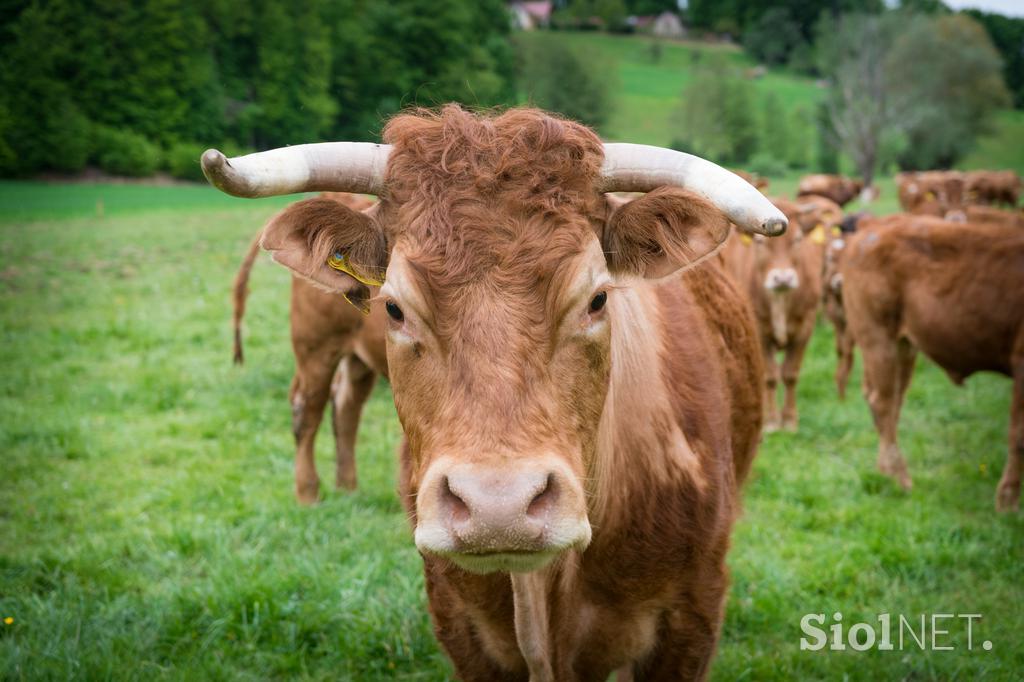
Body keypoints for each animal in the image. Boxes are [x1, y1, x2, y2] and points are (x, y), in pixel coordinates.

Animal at [232, 189, 387, 499]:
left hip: (360, 357)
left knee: (346, 406)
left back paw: (347, 489)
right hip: (315, 347)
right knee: (307, 410)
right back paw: (308, 493)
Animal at [839, 215, 1024, 507]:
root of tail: (874, 223)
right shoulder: (1021, 364)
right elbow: (1018, 436)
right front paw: (1007, 502)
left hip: (903, 347)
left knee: (891, 403)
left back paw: (886, 472)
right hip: (877, 339)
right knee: (883, 403)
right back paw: (901, 479)